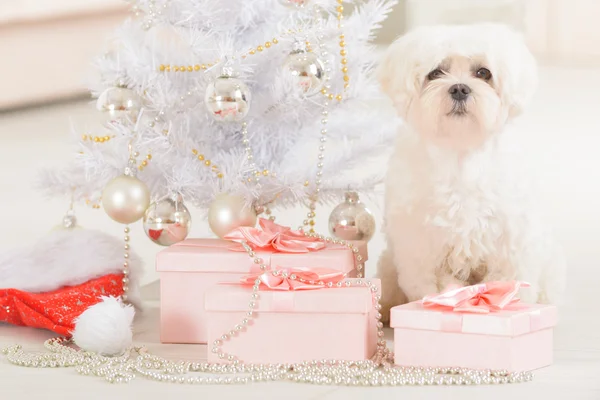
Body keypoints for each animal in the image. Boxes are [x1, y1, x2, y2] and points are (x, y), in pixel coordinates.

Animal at [378, 24, 564, 318]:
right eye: (435, 73)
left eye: (483, 73)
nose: (459, 88)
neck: (461, 153)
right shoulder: (422, 247)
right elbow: (437, 285)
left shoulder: (510, 245)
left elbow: (510, 281)